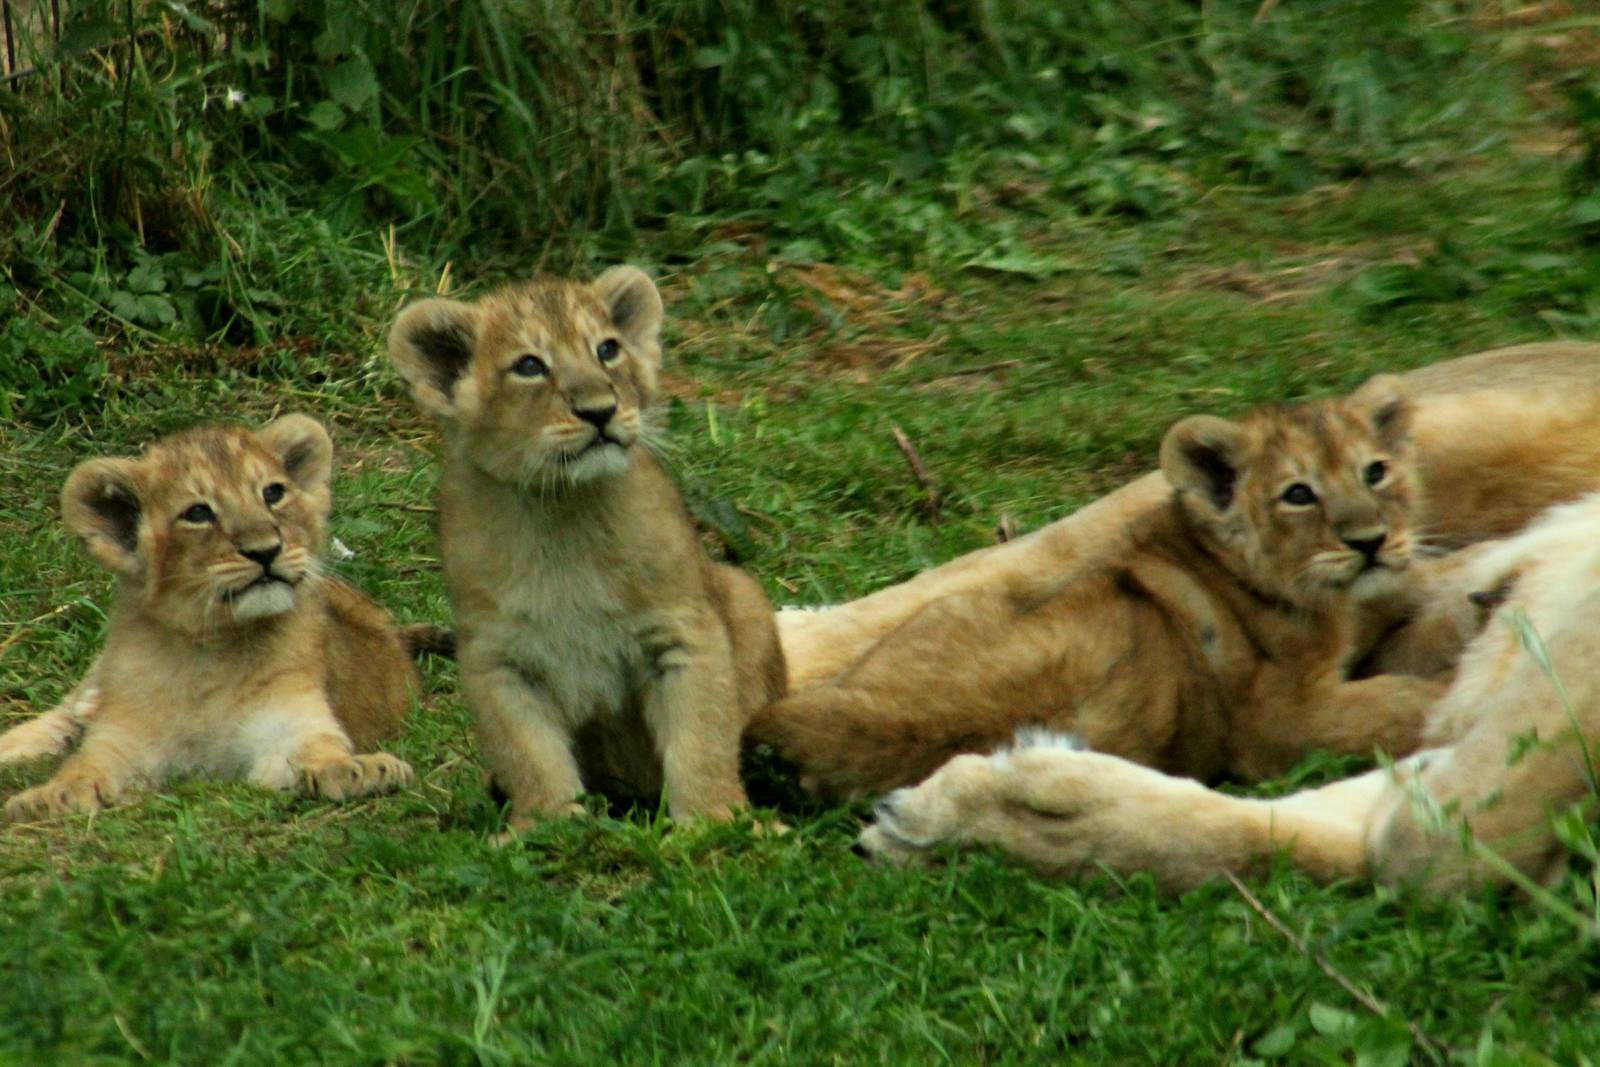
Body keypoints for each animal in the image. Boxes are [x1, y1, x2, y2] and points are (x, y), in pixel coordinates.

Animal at [0, 416, 419, 821]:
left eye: (273, 493)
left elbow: (316, 752)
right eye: (198, 513)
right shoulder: (122, 738)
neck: (209, 649)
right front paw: (47, 797)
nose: (266, 550)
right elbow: (84, 766)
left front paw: (361, 770)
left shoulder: (289, 724)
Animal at [387, 266, 786, 834]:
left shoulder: (683, 631)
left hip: (744, 593)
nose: (601, 411)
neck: (564, 514)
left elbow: (702, 739)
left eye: (608, 350)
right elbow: (528, 753)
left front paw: (719, 822)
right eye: (529, 366)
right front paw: (547, 825)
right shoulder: (497, 659)